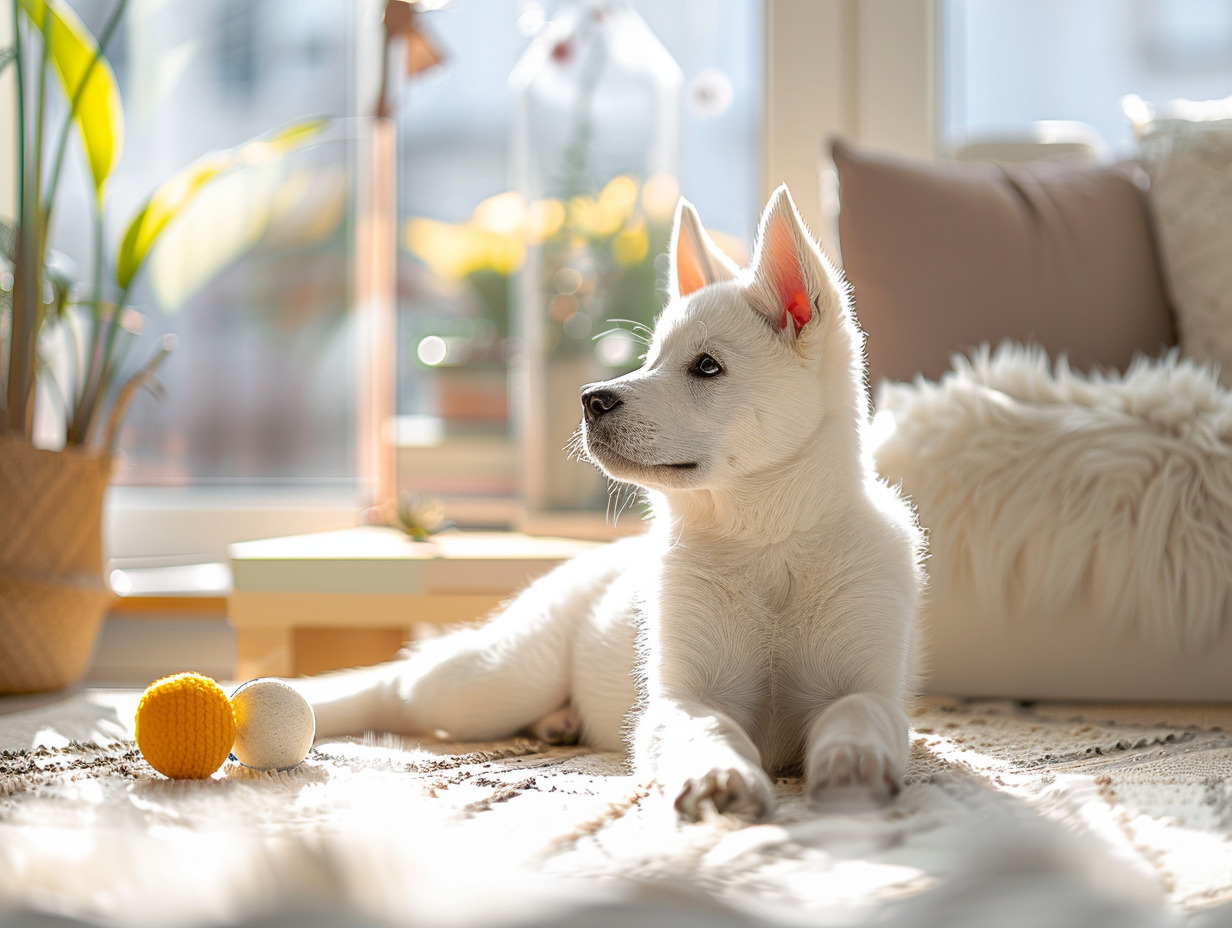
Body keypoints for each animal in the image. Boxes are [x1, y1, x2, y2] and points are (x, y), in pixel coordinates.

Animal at [305, 186, 926, 818]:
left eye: (707, 366)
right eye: (650, 359)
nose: (591, 400)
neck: (767, 541)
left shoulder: (871, 683)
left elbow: (858, 709)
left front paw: (852, 763)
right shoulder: (678, 699)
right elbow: (708, 727)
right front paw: (721, 774)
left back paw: (558, 724)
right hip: (496, 680)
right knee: (396, 686)